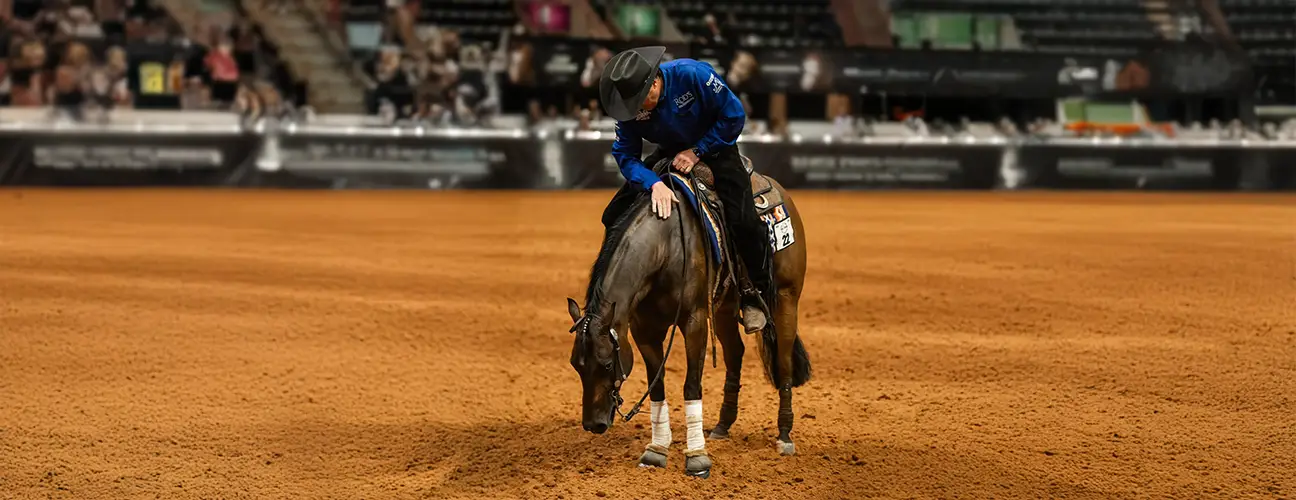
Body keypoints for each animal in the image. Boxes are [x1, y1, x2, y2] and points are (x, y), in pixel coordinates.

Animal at [566, 156, 812, 479]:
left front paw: (697, 457)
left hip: (786, 297)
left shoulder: (694, 321)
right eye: (576, 365)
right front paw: (656, 449)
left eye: (607, 363)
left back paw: (784, 435)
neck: (666, 246)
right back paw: (722, 425)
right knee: (735, 354)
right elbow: (657, 387)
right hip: (723, 308)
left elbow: (691, 385)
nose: (593, 424)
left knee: (782, 361)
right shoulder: (643, 330)